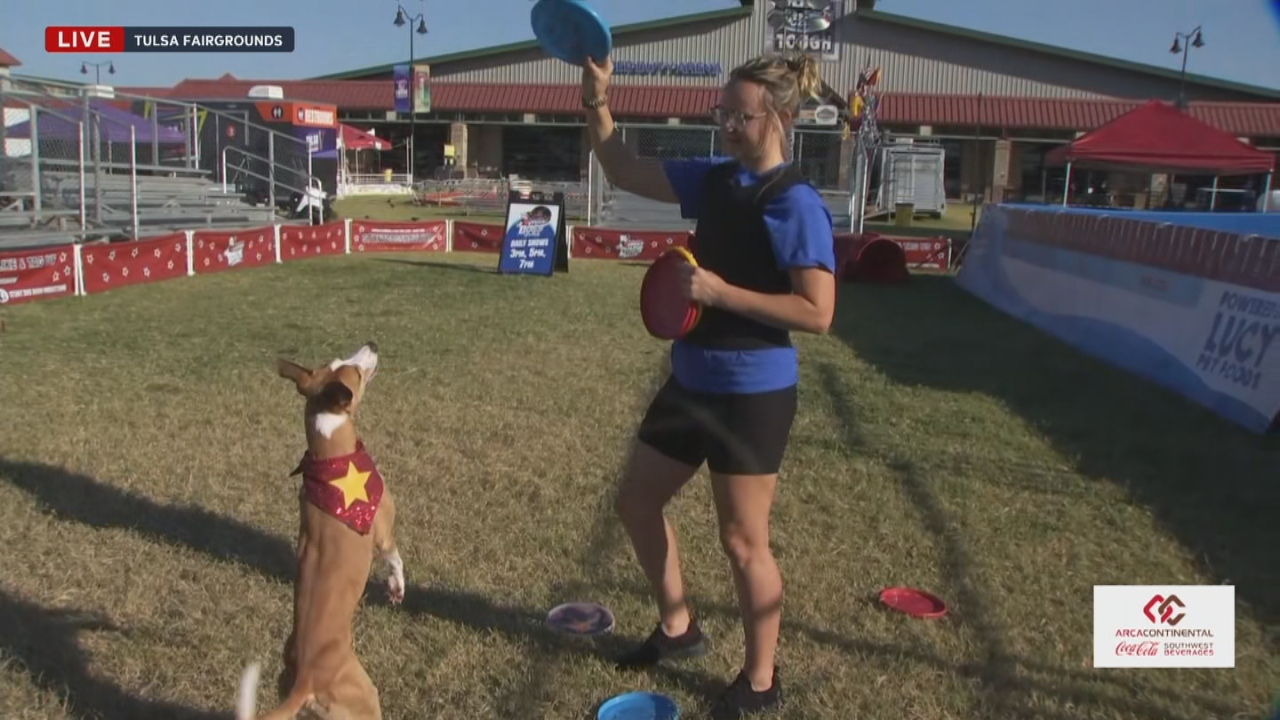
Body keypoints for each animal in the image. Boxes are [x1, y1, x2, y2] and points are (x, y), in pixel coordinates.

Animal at [236, 340, 404, 717]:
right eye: (355, 371)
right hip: (366, 697)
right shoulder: (383, 531)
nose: (372, 344)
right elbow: (395, 560)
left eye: (341, 360)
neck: (329, 453)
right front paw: (396, 589)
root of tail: (306, 679)